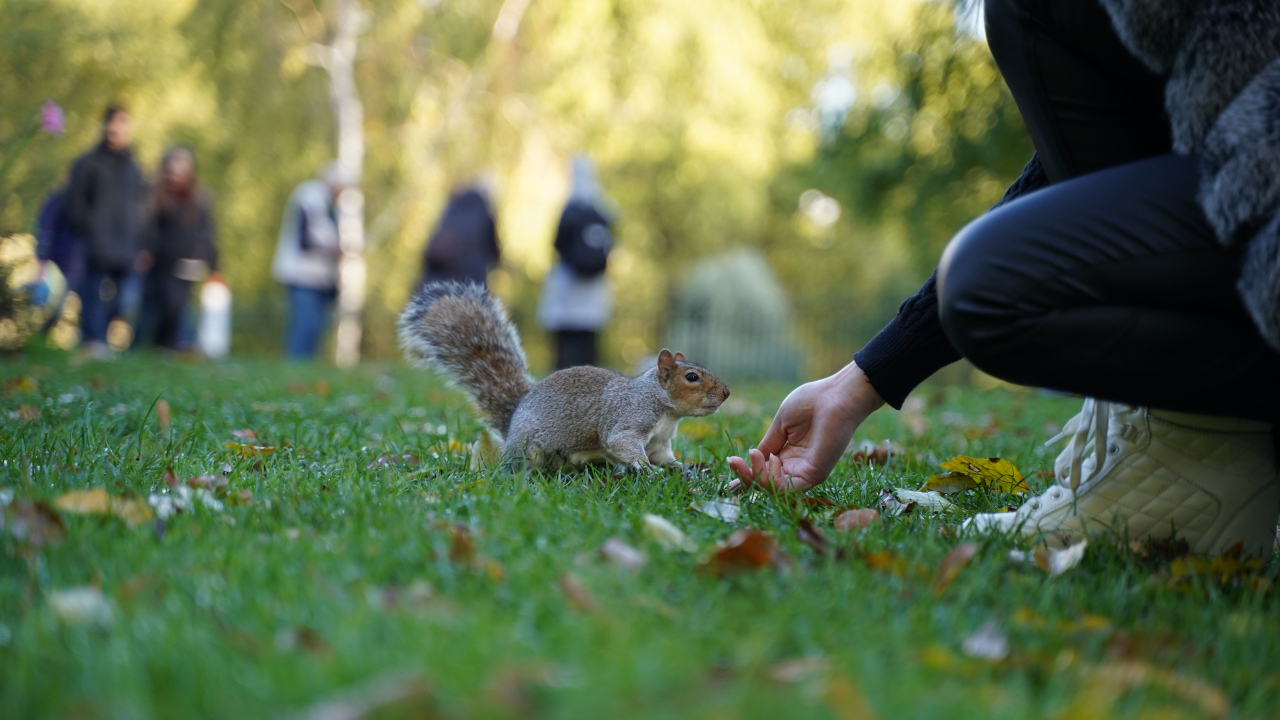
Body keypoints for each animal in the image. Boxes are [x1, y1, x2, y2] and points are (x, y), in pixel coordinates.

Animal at [398, 281, 731, 472]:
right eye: (692, 377)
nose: (726, 393)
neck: (664, 408)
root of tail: (512, 421)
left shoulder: (661, 441)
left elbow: (664, 456)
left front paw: (681, 468)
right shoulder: (630, 416)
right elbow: (621, 442)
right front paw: (647, 469)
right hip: (530, 447)